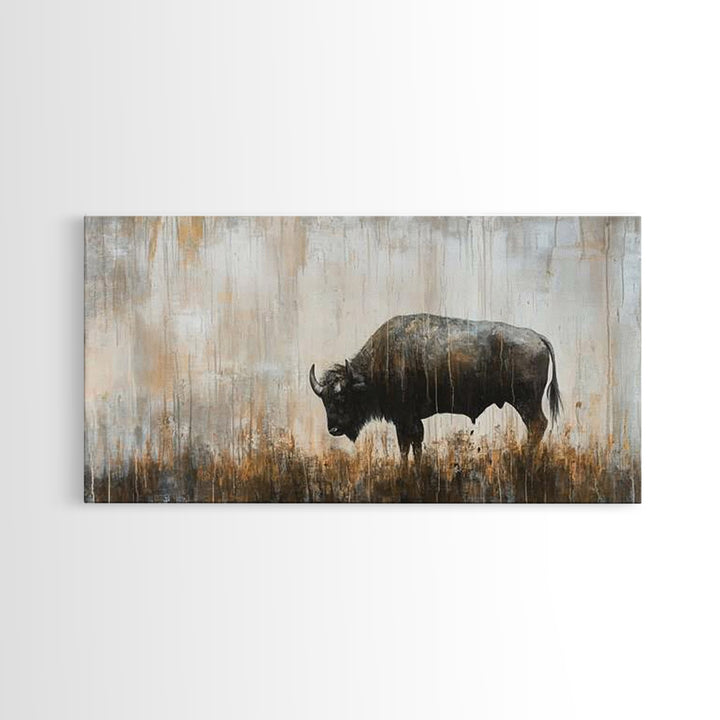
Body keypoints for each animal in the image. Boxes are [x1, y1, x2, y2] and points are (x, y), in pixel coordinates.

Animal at [310, 313, 561, 464]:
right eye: (324, 401)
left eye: (343, 398)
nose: (333, 429)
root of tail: (536, 337)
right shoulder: (405, 420)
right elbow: (410, 445)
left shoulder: (406, 417)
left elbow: (410, 444)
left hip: (526, 402)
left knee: (537, 425)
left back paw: (525, 459)